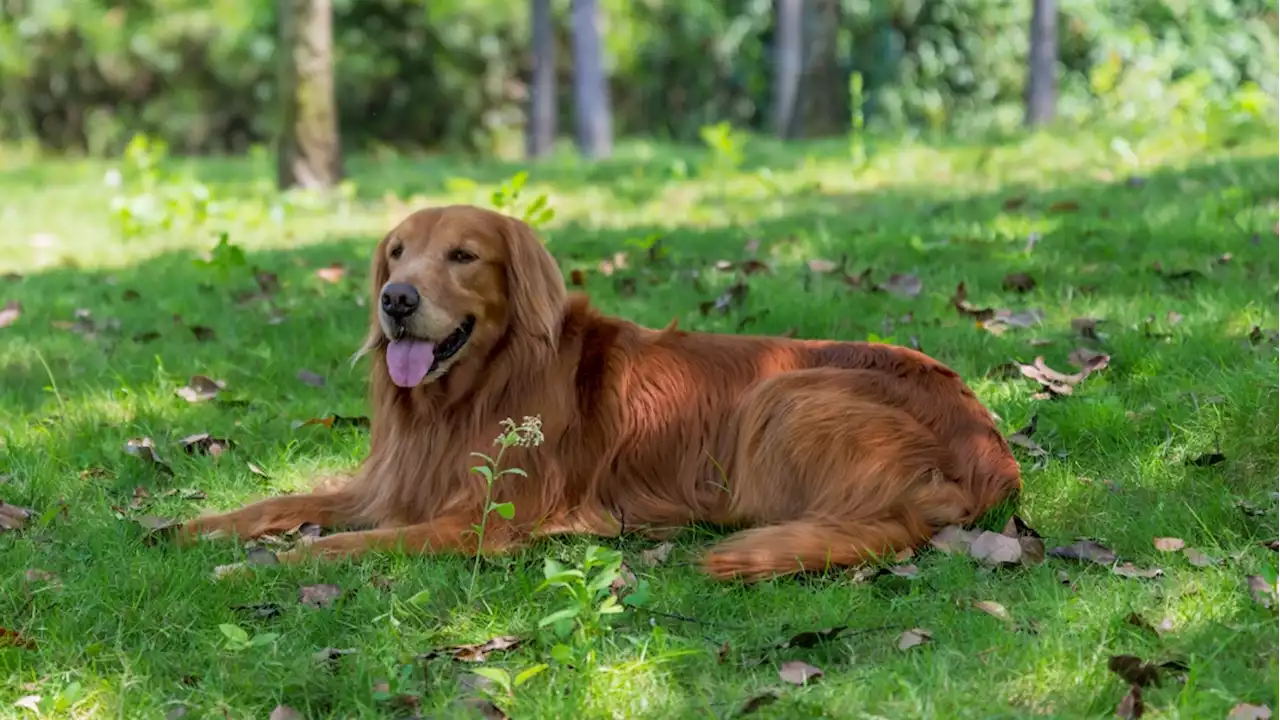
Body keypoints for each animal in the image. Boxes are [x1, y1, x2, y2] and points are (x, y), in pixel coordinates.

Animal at [180, 202, 1018, 576]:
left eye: (462, 256)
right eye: (396, 253)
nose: (396, 301)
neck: (471, 393)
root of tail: (989, 456)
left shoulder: (480, 521)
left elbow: (342, 544)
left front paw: (253, 566)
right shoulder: (392, 483)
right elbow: (281, 502)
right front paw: (188, 527)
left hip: (782, 395)